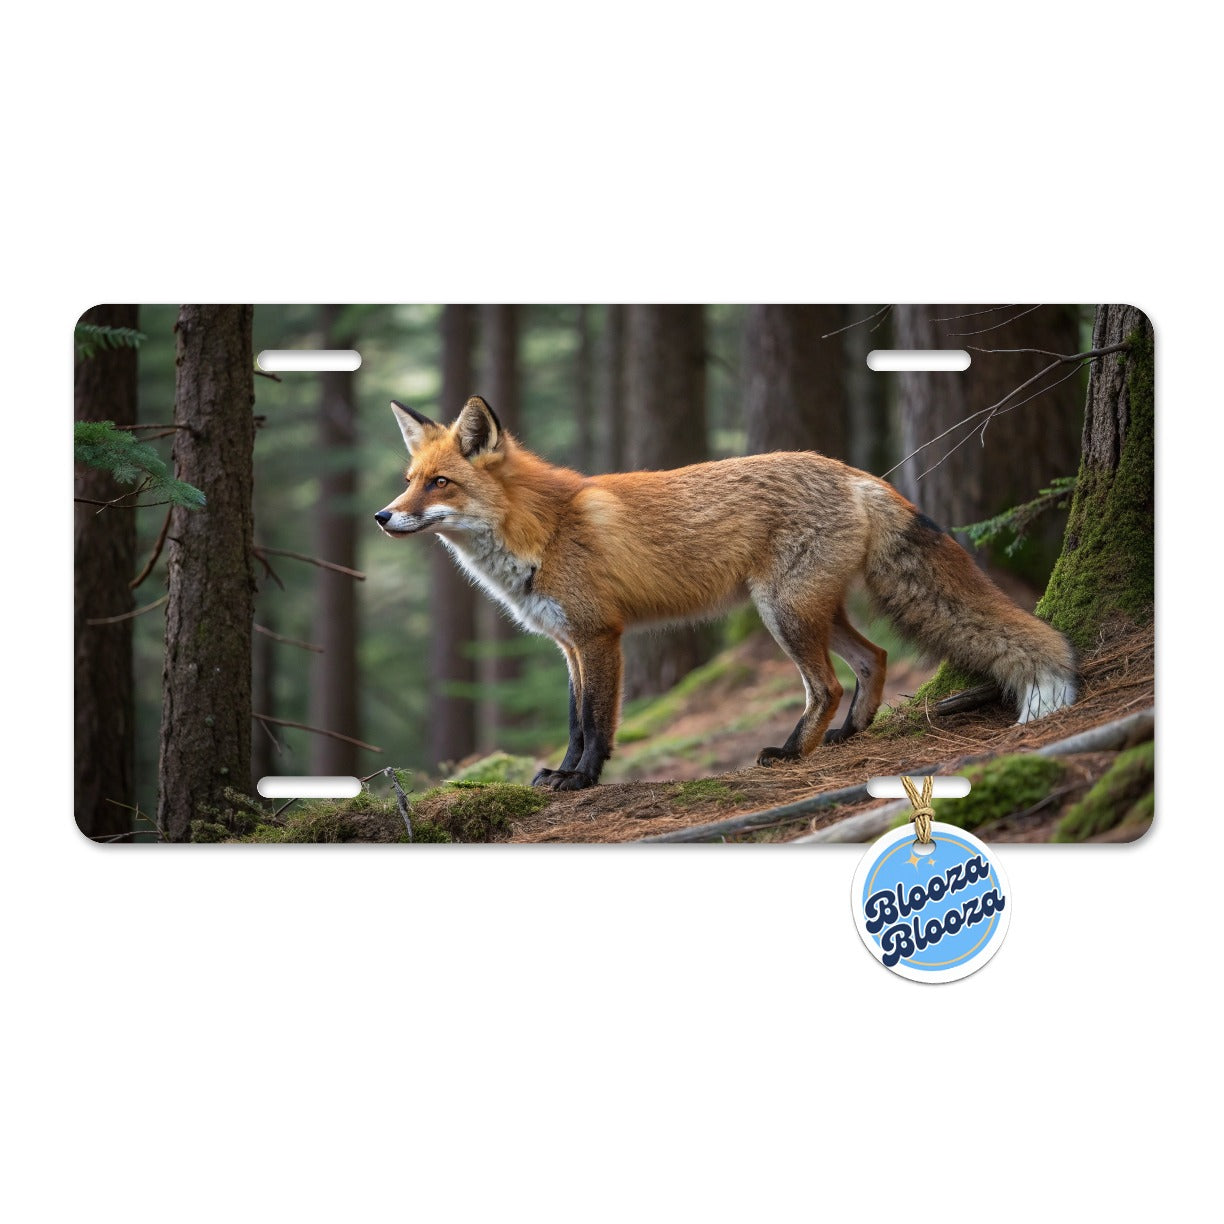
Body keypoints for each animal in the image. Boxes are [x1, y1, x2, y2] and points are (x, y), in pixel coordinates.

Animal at [375, 394, 1077, 791]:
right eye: (409, 480)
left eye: (440, 483)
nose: (382, 517)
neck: (539, 531)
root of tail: (856, 473)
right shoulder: (568, 644)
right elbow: (574, 720)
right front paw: (560, 772)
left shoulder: (601, 636)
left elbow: (598, 724)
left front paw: (581, 782)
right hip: (810, 610)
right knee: (872, 659)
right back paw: (848, 737)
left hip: (782, 613)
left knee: (825, 685)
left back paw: (790, 754)